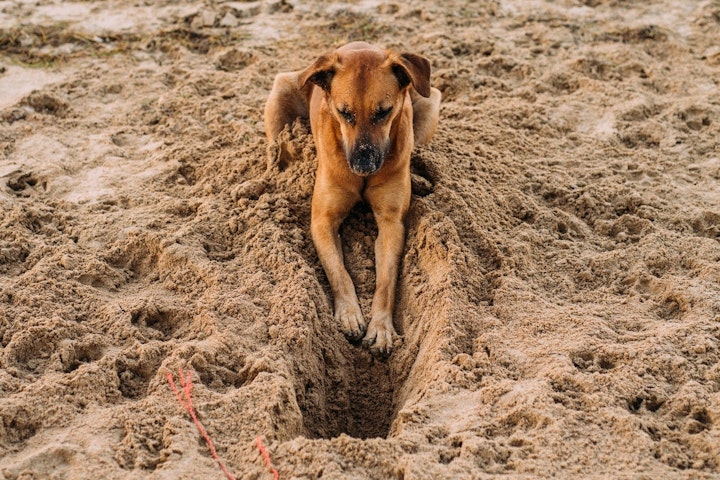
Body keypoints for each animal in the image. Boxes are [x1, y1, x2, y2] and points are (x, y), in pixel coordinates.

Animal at [264, 41, 442, 354]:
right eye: (344, 112)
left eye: (384, 112)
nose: (363, 165)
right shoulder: (322, 221)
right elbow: (338, 271)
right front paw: (349, 314)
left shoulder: (391, 224)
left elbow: (386, 281)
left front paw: (380, 327)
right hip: (280, 93)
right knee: (274, 149)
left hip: (430, 100)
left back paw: (419, 178)